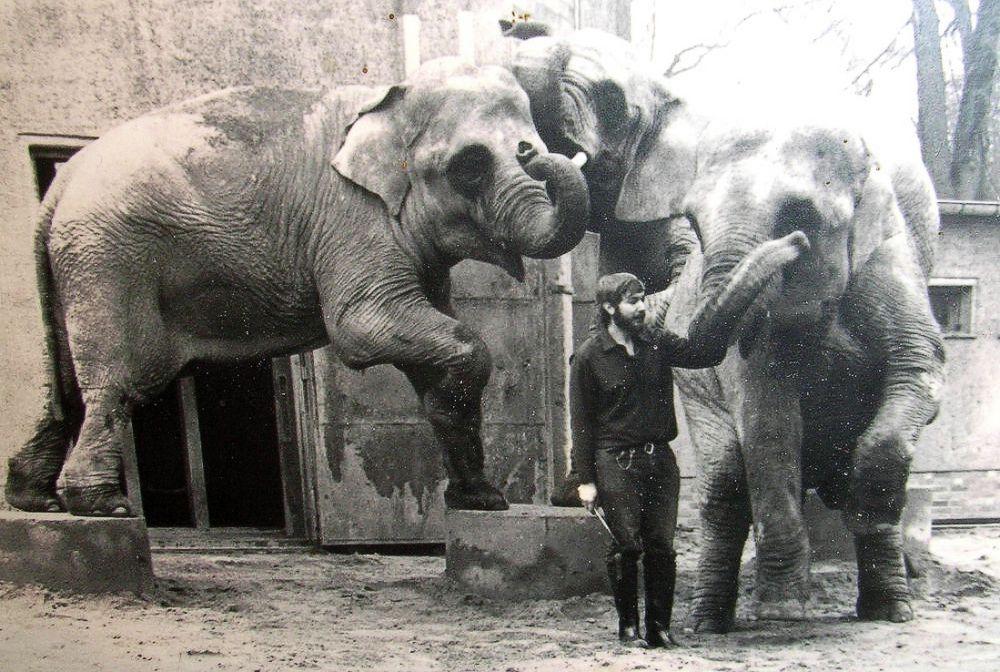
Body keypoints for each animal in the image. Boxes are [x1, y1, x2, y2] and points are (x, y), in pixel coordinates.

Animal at [3, 57, 588, 520]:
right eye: (471, 166)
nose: (538, 153)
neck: (387, 99)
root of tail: (60, 184)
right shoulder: (353, 218)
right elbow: (366, 328)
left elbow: (429, 349)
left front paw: (480, 500)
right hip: (109, 259)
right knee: (121, 379)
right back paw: (102, 506)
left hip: (79, 262)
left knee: (65, 384)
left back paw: (35, 500)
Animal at [504, 22, 948, 632]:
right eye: (692, 219)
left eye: (799, 219)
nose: (527, 149)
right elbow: (766, 417)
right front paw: (784, 614)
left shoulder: (889, 265)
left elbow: (917, 370)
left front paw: (880, 585)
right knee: (724, 483)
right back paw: (707, 622)